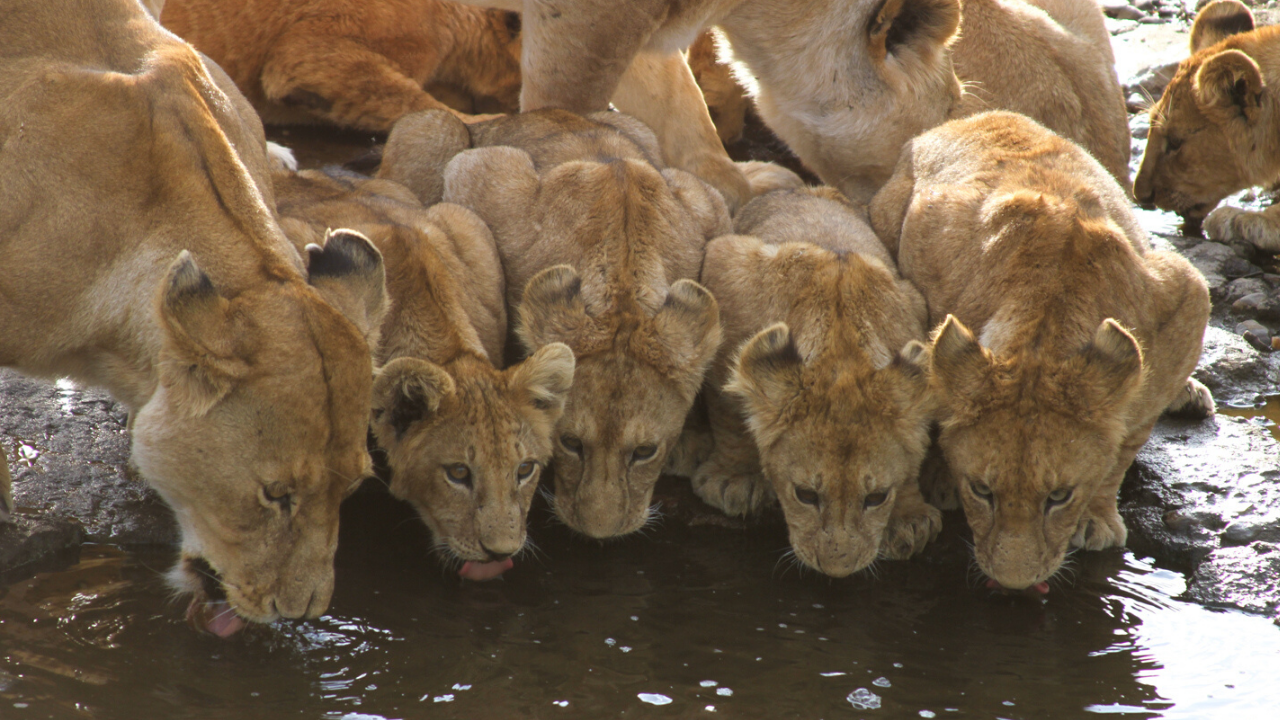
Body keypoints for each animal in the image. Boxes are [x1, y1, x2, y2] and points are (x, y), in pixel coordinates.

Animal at [377, 109, 731, 538]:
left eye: (644, 452)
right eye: (570, 443)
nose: (599, 534)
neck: (623, 282)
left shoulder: (708, 205)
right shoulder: (479, 173)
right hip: (433, 125)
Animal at [448, 0, 1128, 209]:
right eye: (952, 107)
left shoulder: (637, 28)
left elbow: (685, 118)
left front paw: (746, 191)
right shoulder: (581, 26)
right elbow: (568, 114)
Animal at [695, 188, 939, 577]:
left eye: (876, 498)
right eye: (806, 495)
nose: (837, 569)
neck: (840, 346)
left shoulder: (914, 317)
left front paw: (908, 516)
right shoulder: (726, 268)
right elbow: (728, 406)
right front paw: (733, 478)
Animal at [870, 111, 1212, 592]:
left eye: (1059, 497)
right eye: (982, 491)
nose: (1014, 583)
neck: (1048, 316)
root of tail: (969, 118)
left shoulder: (1185, 292)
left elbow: (1128, 438)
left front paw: (1096, 516)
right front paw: (939, 475)